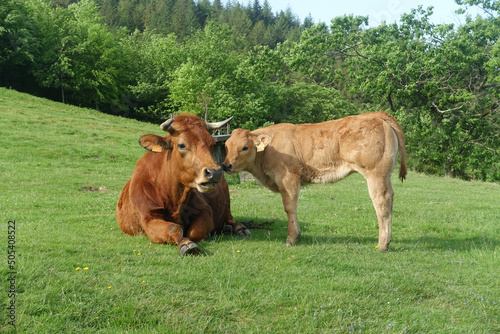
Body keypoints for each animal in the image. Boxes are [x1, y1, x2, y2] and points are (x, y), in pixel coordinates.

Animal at [116, 114, 250, 256]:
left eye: (212, 144)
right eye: (181, 145)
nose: (214, 172)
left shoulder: (205, 210)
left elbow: (195, 231)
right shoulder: (148, 218)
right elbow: (174, 229)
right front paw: (186, 243)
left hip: (227, 202)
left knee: (231, 219)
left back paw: (238, 228)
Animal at [223, 111, 406, 250]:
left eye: (245, 147)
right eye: (226, 146)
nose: (226, 165)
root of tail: (376, 114)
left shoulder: (288, 179)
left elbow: (290, 207)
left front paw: (291, 239)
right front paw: (298, 234)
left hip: (375, 173)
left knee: (381, 202)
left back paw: (382, 244)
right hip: (384, 175)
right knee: (390, 198)